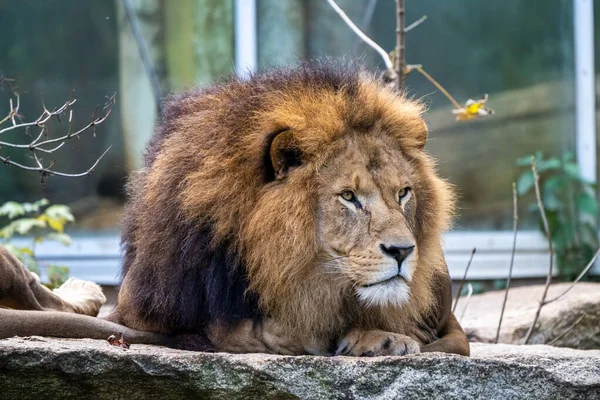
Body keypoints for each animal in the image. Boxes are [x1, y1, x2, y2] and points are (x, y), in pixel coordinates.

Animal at [0, 61, 468, 356]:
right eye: (349, 197)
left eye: (403, 193)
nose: (403, 251)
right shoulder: (144, 308)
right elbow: (251, 328)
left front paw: (382, 336)